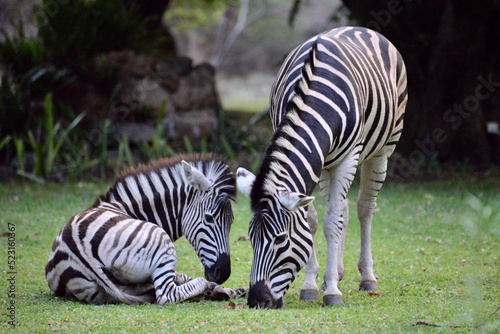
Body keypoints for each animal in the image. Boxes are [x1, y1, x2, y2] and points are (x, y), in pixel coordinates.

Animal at [45, 155, 244, 306]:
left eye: (231, 222)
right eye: (209, 218)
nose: (223, 273)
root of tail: (77, 245)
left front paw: (229, 289)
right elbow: (185, 277)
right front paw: (221, 289)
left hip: (101, 290)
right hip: (162, 242)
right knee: (167, 294)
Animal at [237, 27, 406, 310]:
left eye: (280, 239)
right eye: (251, 238)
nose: (257, 301)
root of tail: (359, 28)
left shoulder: (349, 157)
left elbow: (331, 222)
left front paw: (332, 292)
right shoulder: (314, 160)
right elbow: (314, 221)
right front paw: (312, 284)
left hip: (384, 148)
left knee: (364, 208)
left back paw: (367, 277)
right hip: (328, 163)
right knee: (343, 207)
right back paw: (335, 273)